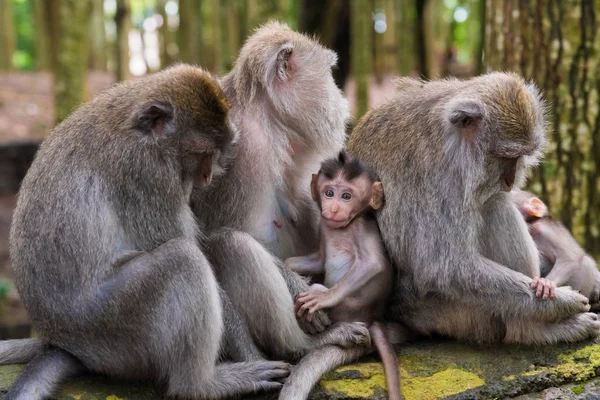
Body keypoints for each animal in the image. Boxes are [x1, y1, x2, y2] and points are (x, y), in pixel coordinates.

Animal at [282, 152, 404, 400]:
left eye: (347, 196)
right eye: (329, 193)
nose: (335, 208)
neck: (344, 226)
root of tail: (372, 318)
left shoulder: (363, 228)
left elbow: (372, 263)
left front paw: (321, 298)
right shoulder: (324, 225)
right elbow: (320, 260)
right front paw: (289, 268)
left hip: (348, 310)